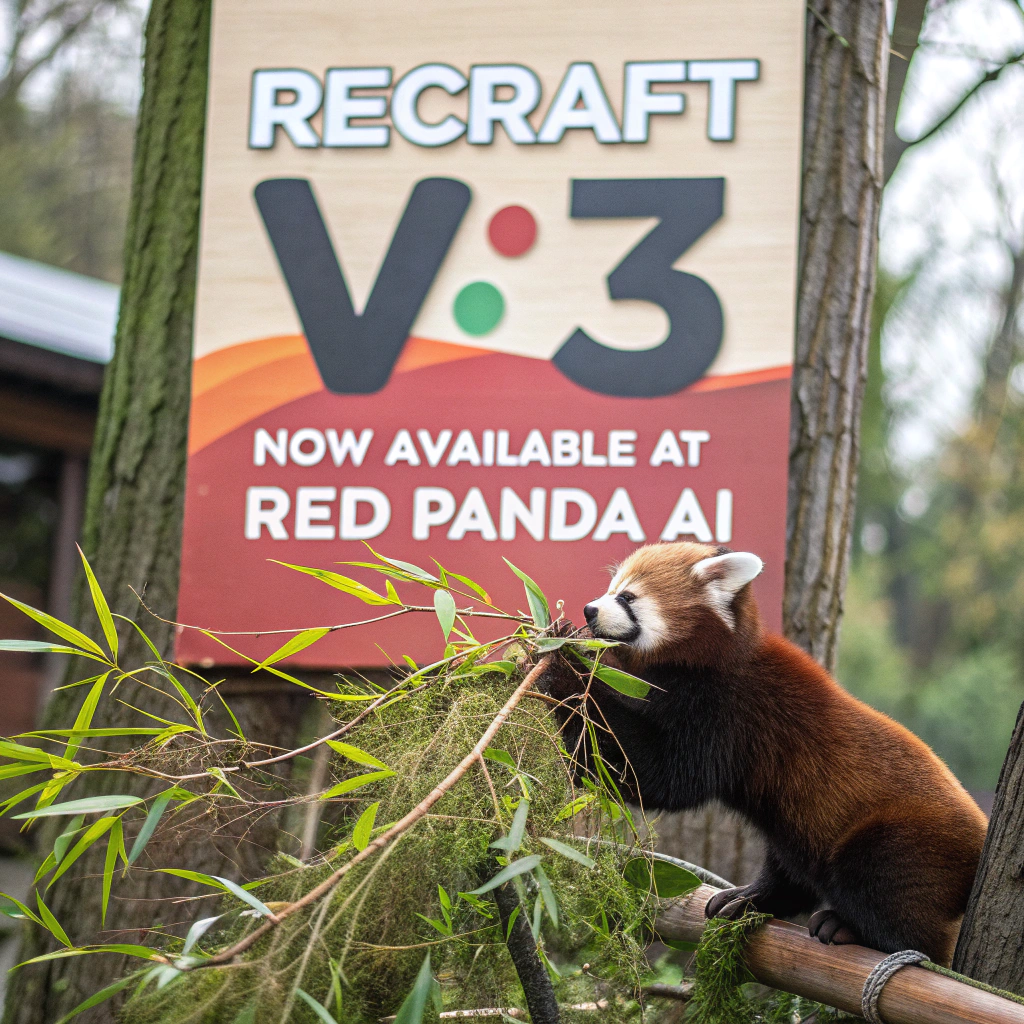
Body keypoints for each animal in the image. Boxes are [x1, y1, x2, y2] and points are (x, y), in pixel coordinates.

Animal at [538, 540, 988, 965]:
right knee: (791, 866)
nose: (589, 609)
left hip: (909, 840)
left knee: (890, 896)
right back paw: (750, 898)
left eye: (627, 597)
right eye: (610, 588)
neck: (707, 659)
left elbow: (661, 776)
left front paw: (561, 667)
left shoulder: (729, 711)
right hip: (799, 826)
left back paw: (852, 930)